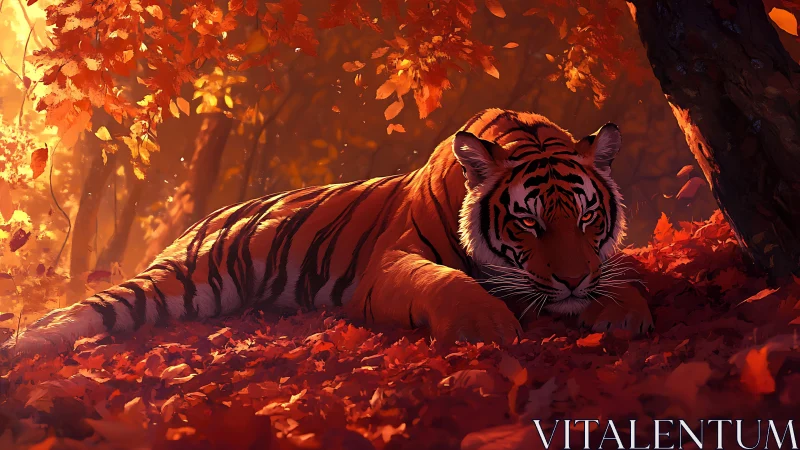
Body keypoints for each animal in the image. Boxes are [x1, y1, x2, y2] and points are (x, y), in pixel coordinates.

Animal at [1, 108, 653, 357]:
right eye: (529, 221)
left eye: (587, 217)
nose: (572, 283)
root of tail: (198, 219)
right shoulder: (388, 264)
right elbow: (446, 283)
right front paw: (486, 324)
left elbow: (621, 275)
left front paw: (622, 308)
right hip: (172, 281)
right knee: (84, 311)